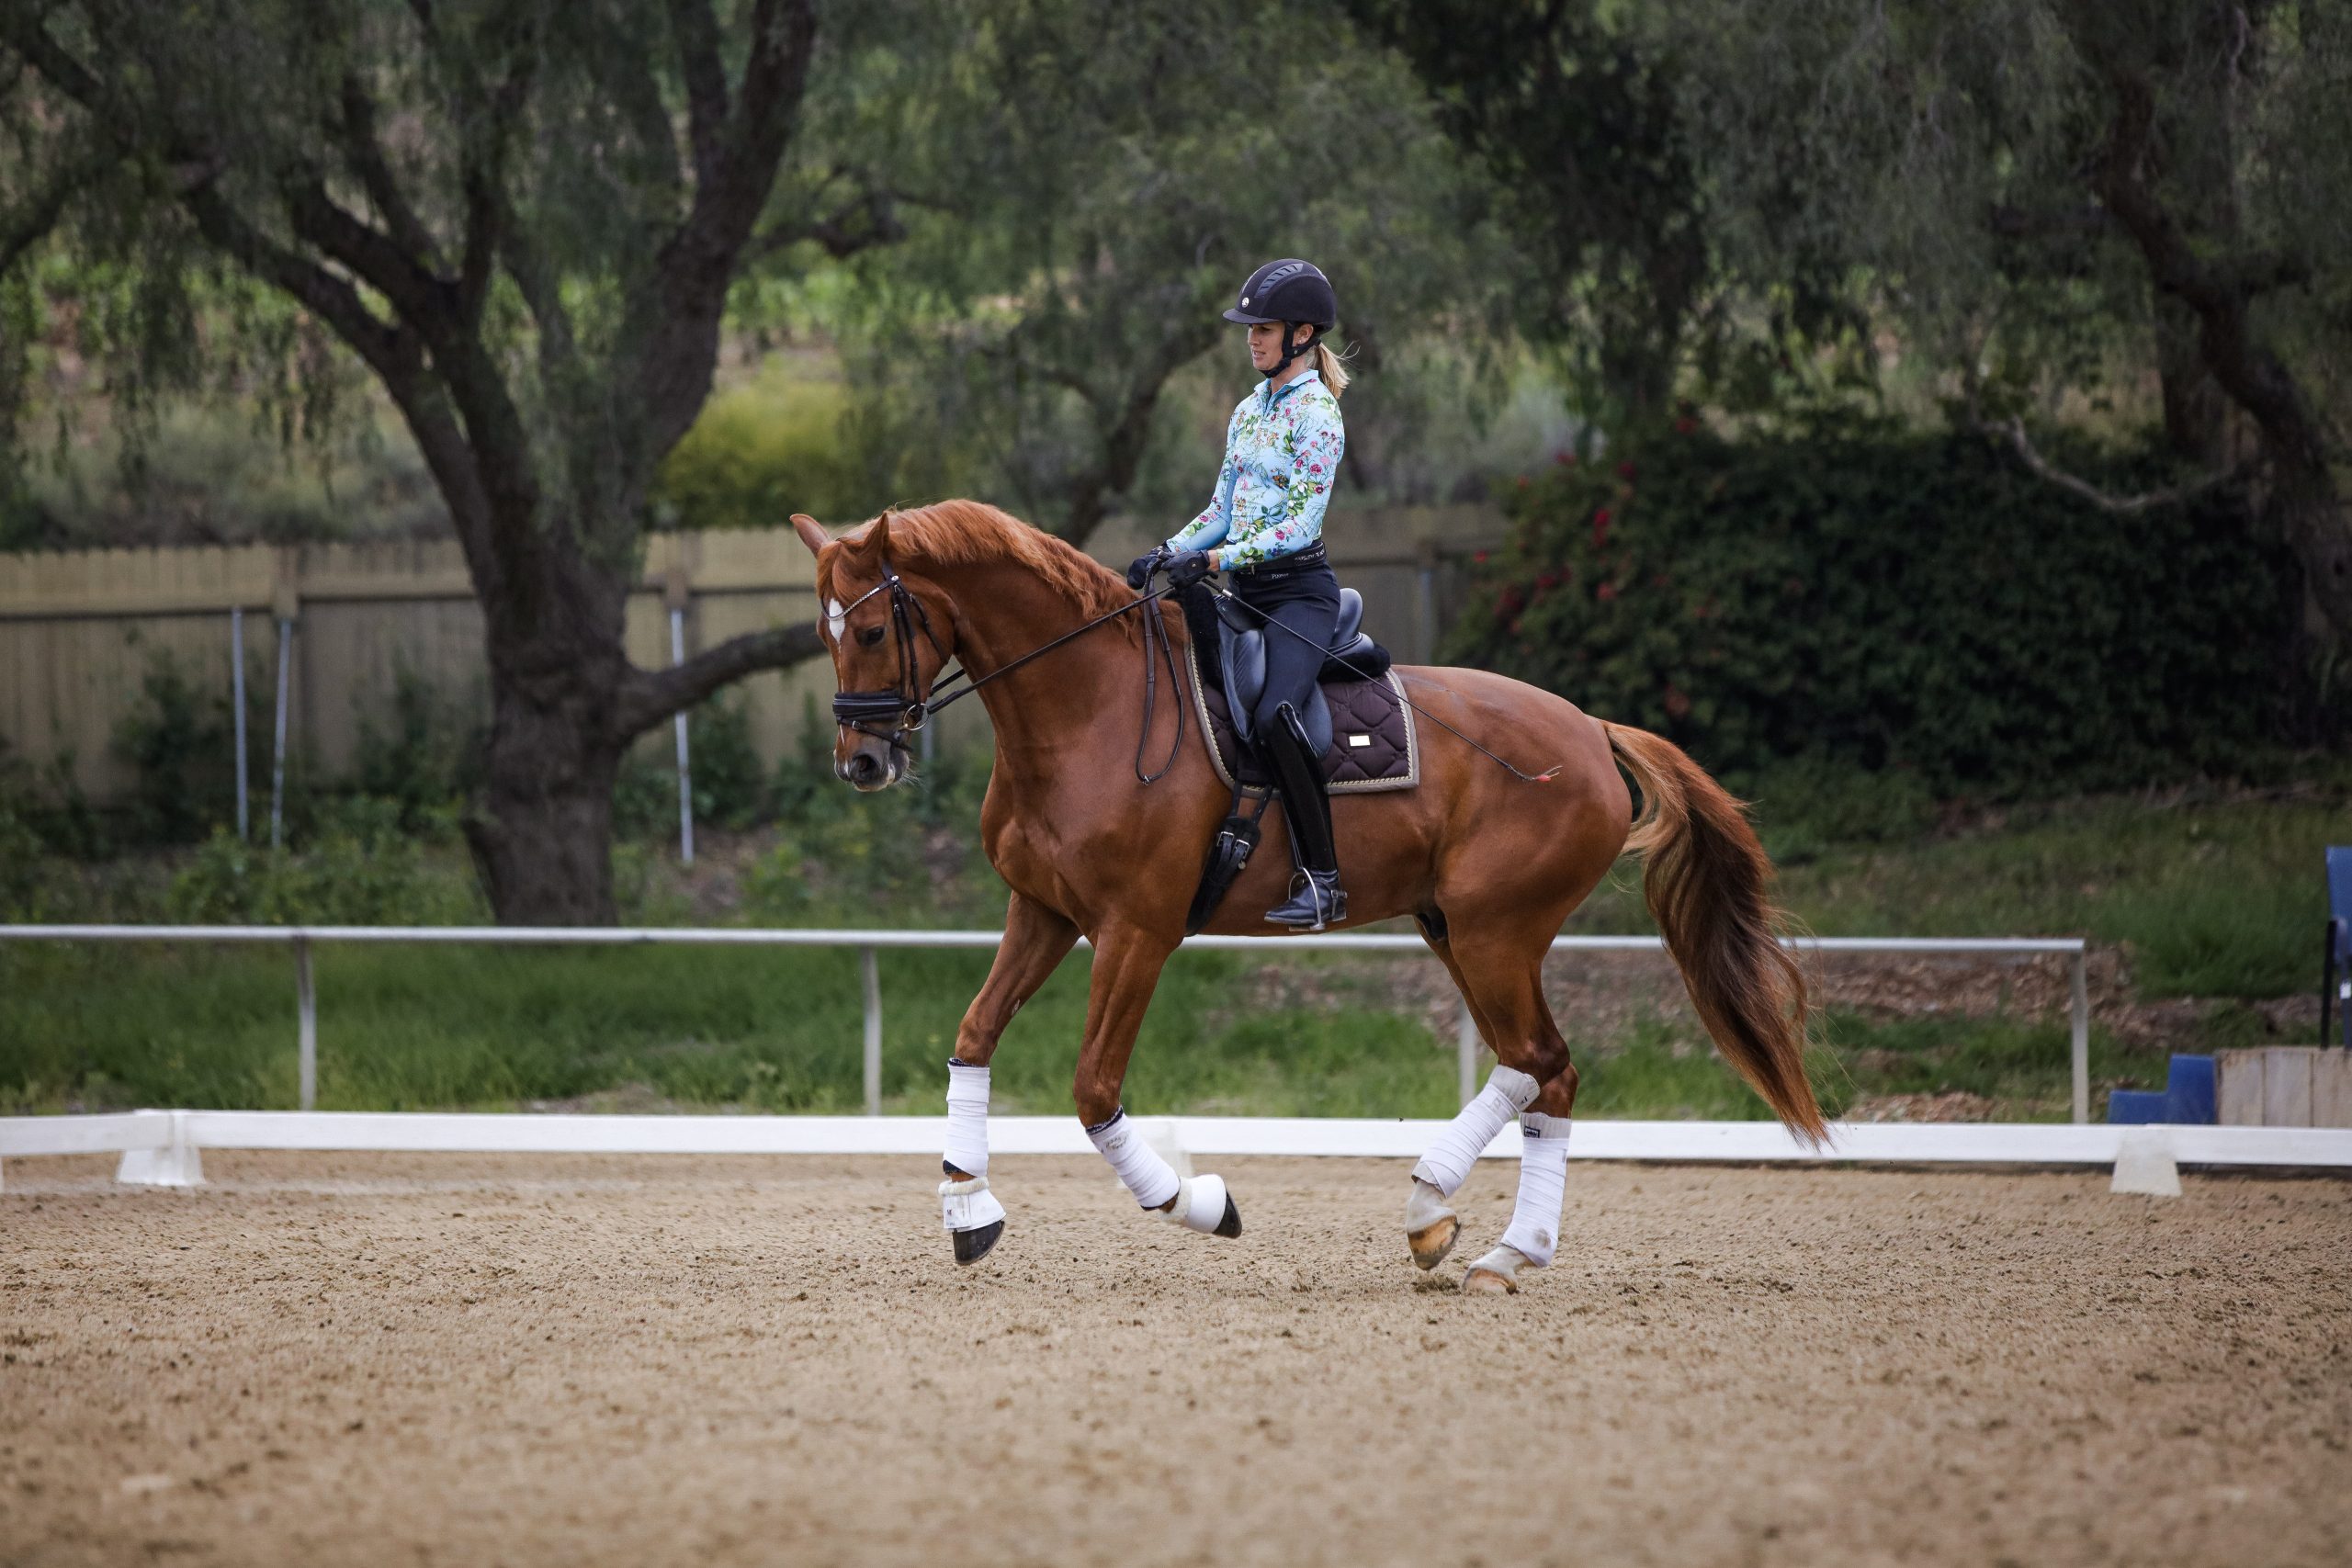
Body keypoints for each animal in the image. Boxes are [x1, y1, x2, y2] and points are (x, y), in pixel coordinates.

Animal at [790, 500, 1823, 1294]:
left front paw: (1195, 1201)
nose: (861, 762)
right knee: (1546, 1072)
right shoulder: (1041, 914)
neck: (1089, 708)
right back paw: (1487, 1243)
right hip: (1457, 931)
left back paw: (1445, 1213)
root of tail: (1588, 729)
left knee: (1537, 1060)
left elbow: (1092, 1088)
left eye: (873, 629)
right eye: (823, 634)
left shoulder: (1137, 931)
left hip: (1496, 931)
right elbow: (973, 1037)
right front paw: (968, 1207)